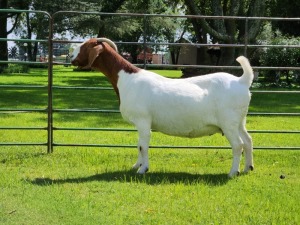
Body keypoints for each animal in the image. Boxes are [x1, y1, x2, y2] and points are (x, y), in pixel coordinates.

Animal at [71, 37, 254, 178]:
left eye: (86, 46)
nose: (71, 58)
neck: (127, 79)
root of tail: (242, 81)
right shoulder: (140, 124)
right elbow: (139, 144)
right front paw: (136, 166)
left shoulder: (143, 120)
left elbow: (143, 145)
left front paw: (143, 170)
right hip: (240, 121)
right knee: (248, 140)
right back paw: (248, 168)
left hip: (228, 122)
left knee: (238, 145)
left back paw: (233, 172)